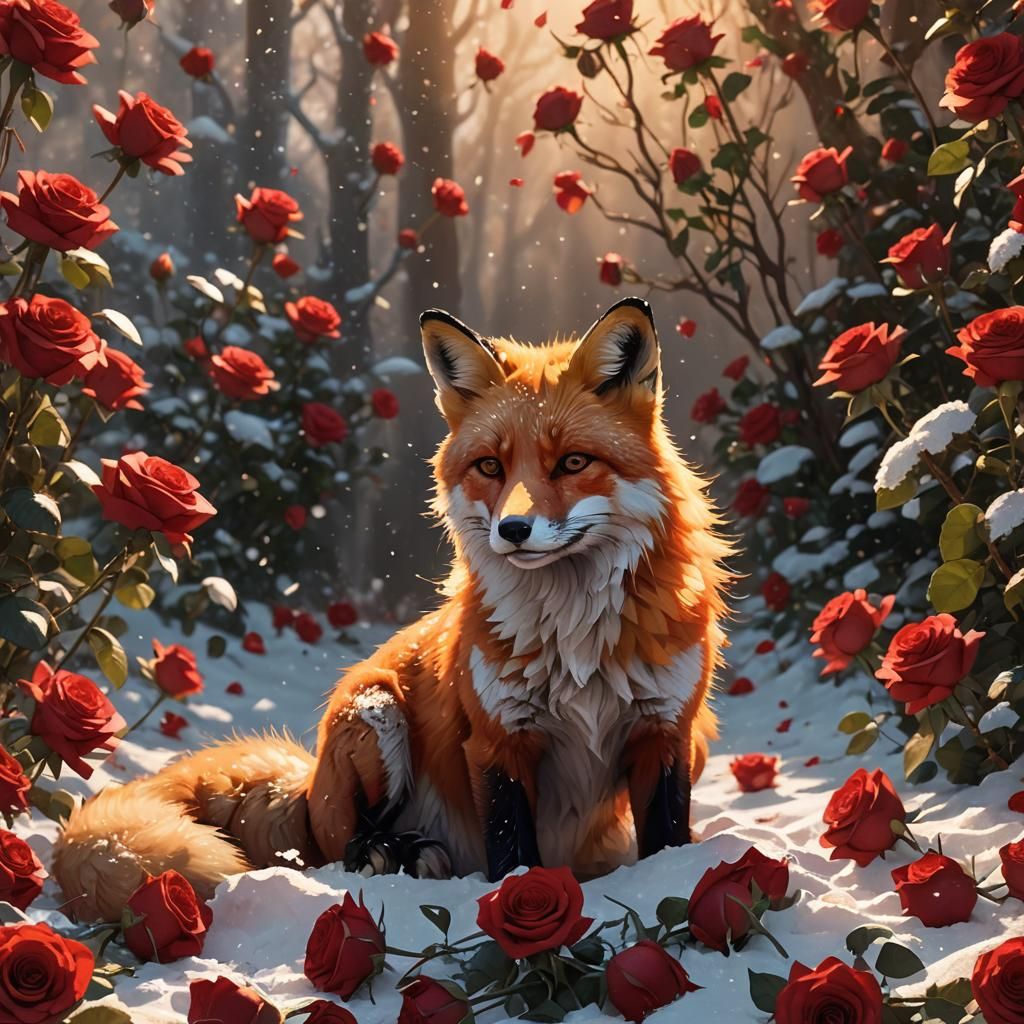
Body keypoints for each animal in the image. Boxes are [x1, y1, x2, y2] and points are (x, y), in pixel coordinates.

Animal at [53, 297, 731, 922]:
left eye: (572, 463)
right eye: (491, 466)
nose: (512, 530)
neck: (577, 645)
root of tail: (306, 786)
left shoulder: (666, 734)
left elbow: (666, 842)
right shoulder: (497, 743)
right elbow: (513, 858)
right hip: (375, 712)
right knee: (338, 848)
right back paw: (394, 852)